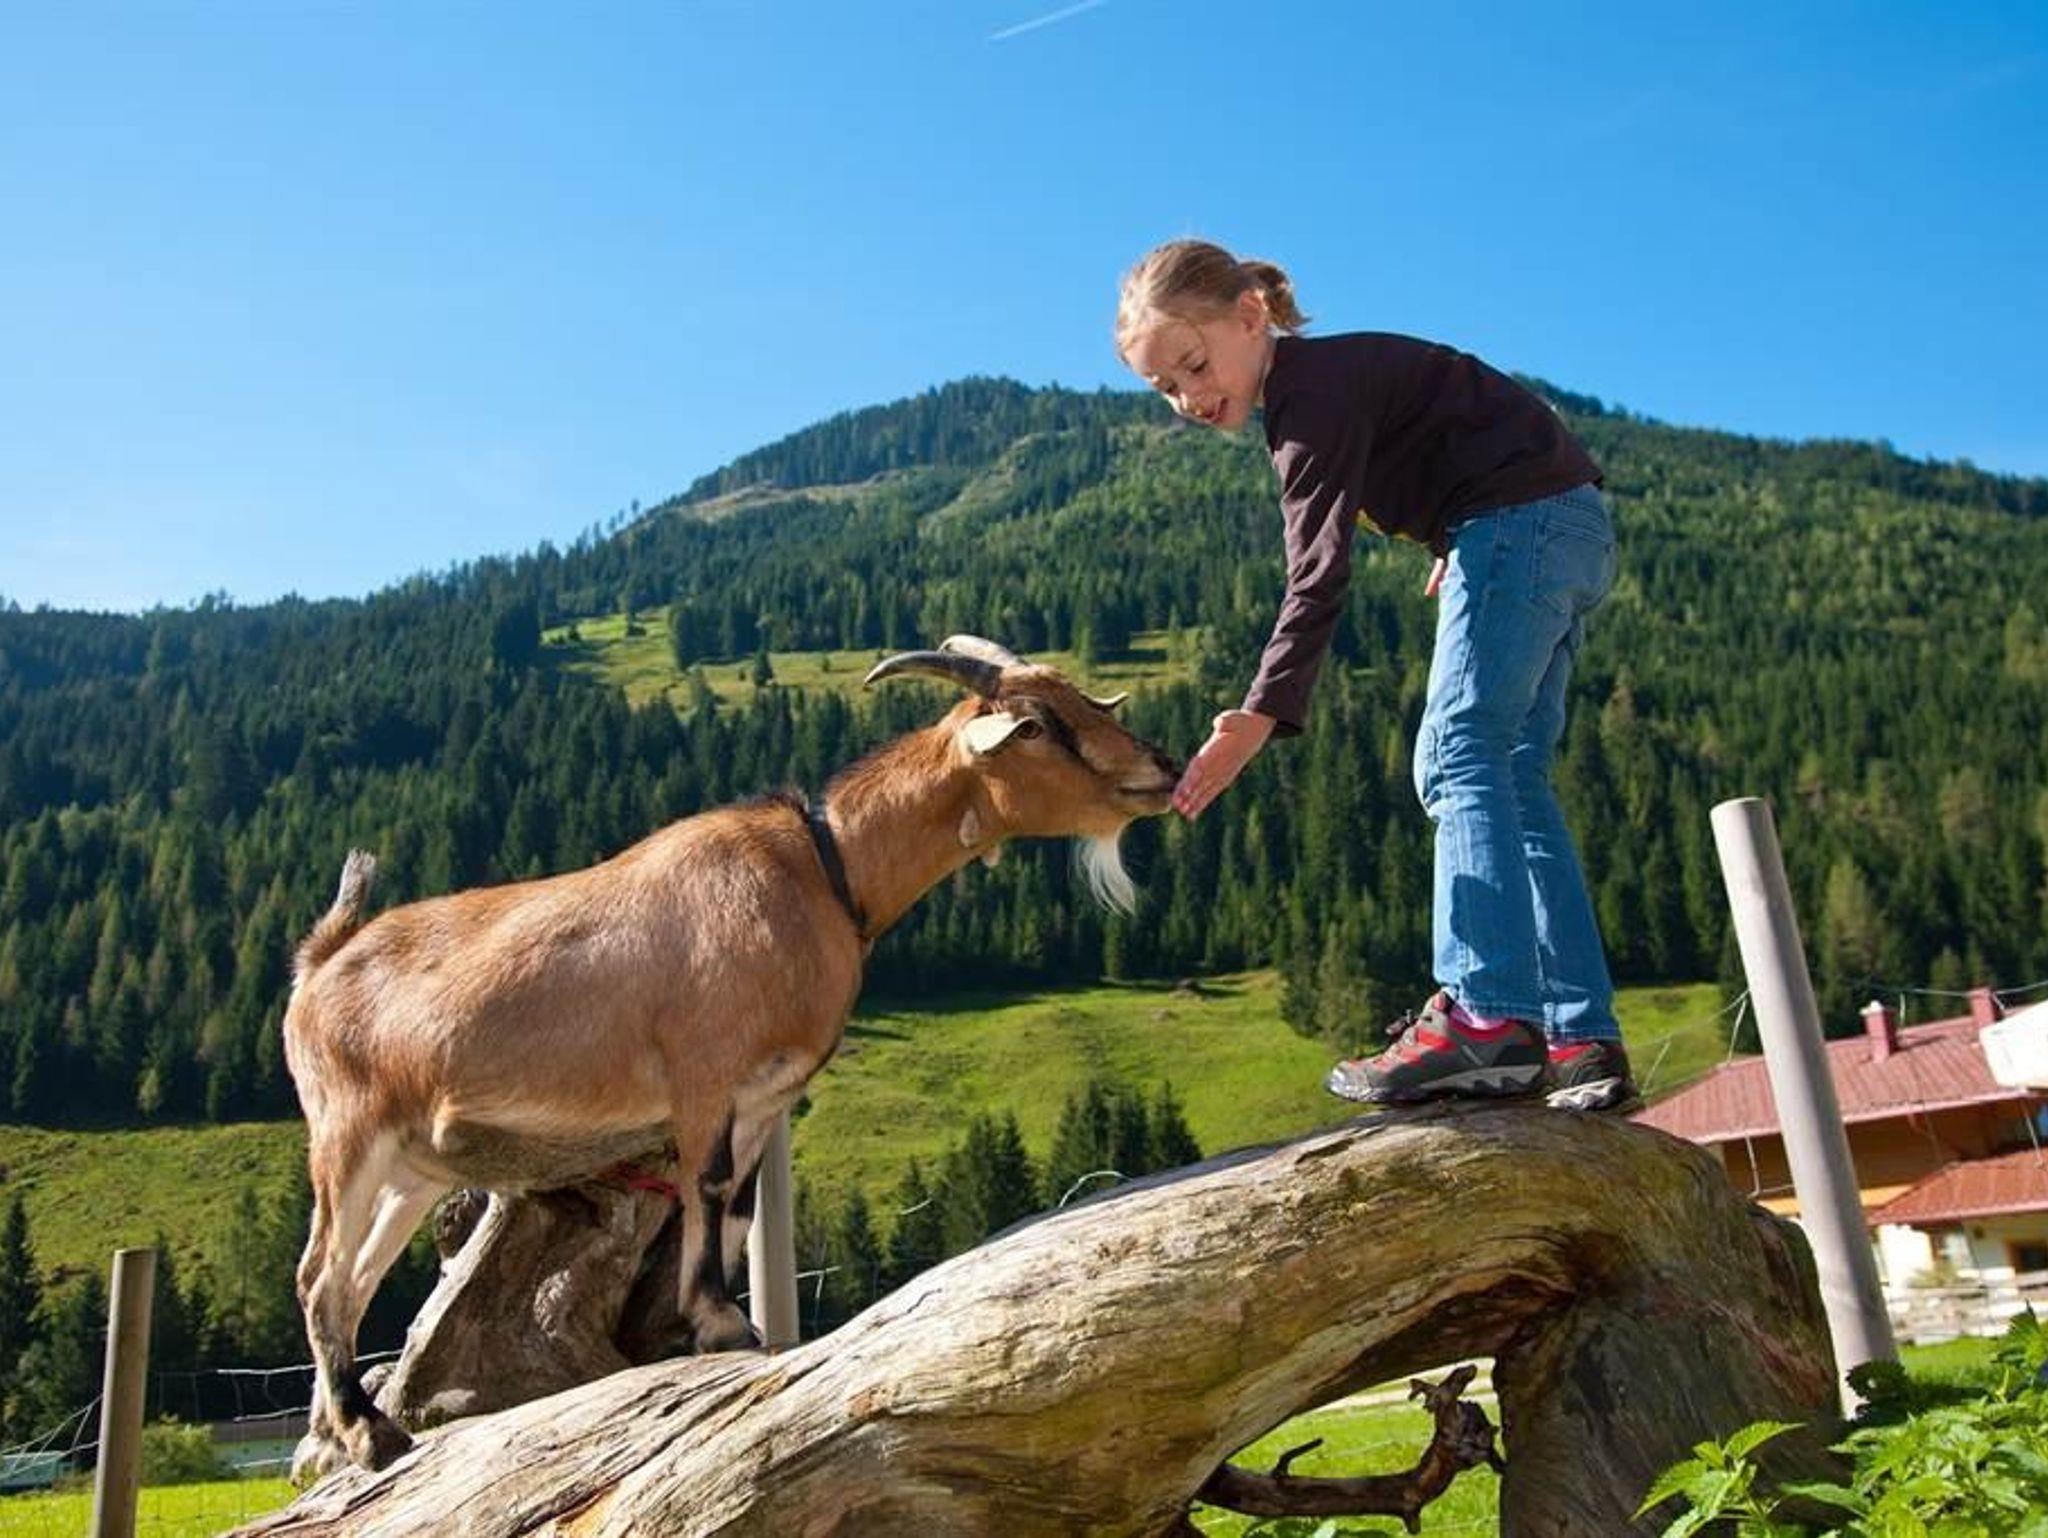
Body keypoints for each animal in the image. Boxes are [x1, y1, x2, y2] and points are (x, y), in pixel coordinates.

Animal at [282, 636, 1180, 1476]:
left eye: (1080, 699)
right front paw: (721, 1323)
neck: (825, 871)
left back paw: (330, 1439)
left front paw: (718, 1323)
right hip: (347, 1134)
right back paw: (366, 1435)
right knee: (319, 1277)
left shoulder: (766, 1094)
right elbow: (707, 1187)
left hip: (410, 1170)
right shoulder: (705, 1072)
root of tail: (319, 964)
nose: (1163, 769)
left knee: (354, 1283)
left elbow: (739, 1203)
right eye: (1035, 725)